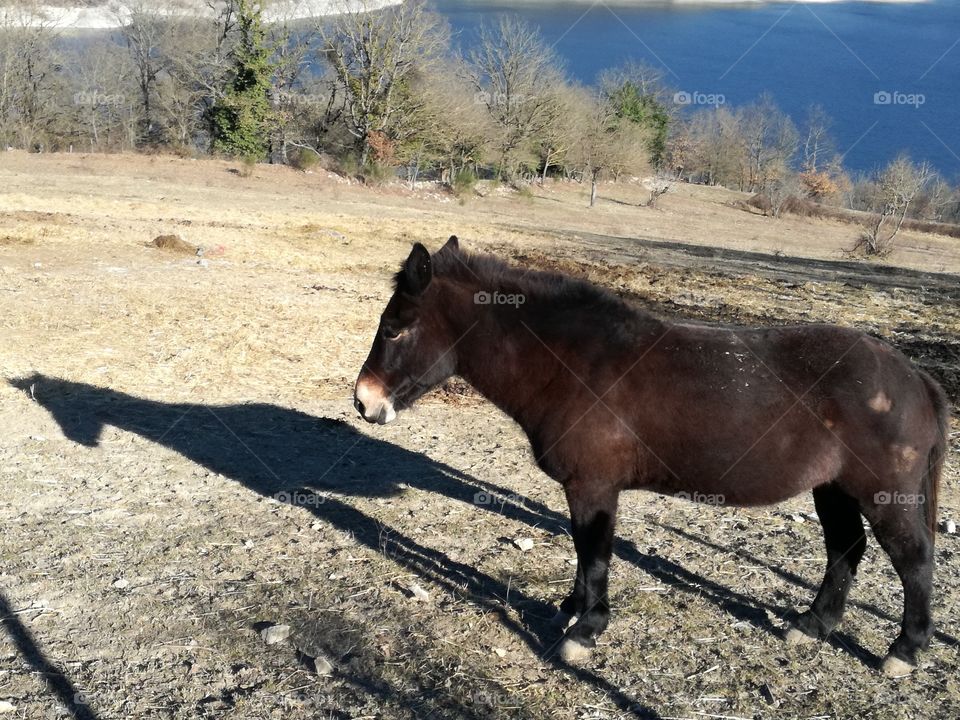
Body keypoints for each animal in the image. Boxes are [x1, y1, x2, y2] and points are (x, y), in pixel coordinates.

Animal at [353, 236, 948, 677]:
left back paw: (904, 651)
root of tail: (914, 376)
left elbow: (594, 553)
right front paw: (569, 611)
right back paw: (812, 627)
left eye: (396, 328)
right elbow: (583, 553)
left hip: (881, 493)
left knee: (914, 559)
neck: (573, 363)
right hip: (835, 489)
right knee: (846, 550)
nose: (363, 401)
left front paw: (585, 631)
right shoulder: (587, 489)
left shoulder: (593, 487)